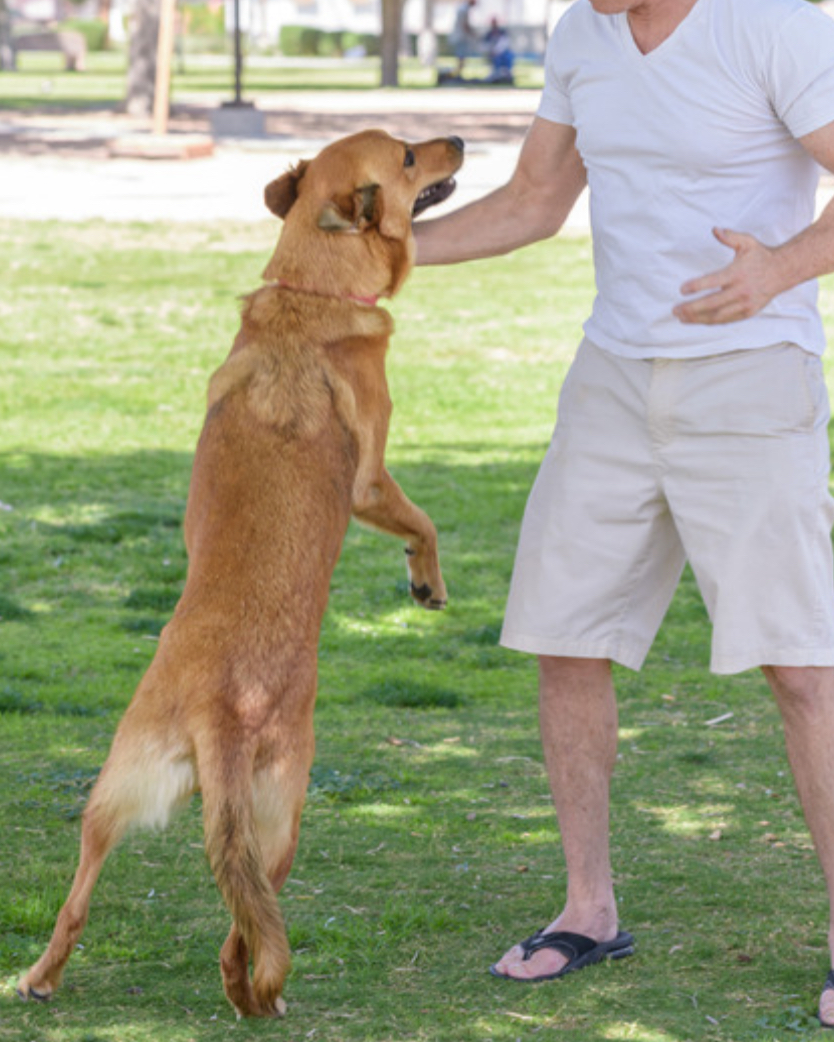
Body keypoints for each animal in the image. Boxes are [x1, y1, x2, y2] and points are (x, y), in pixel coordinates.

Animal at [17, 128, 462, 1016]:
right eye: (406, 154)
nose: (460, 138)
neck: (309, 292)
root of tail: (225, 710)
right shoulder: (370, 481)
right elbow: (418, 518)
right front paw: (425, 580)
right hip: (282, 811)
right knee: (248, 930)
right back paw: (261, 1000)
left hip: (137, 800)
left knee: (117, 904)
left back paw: (45, 977)